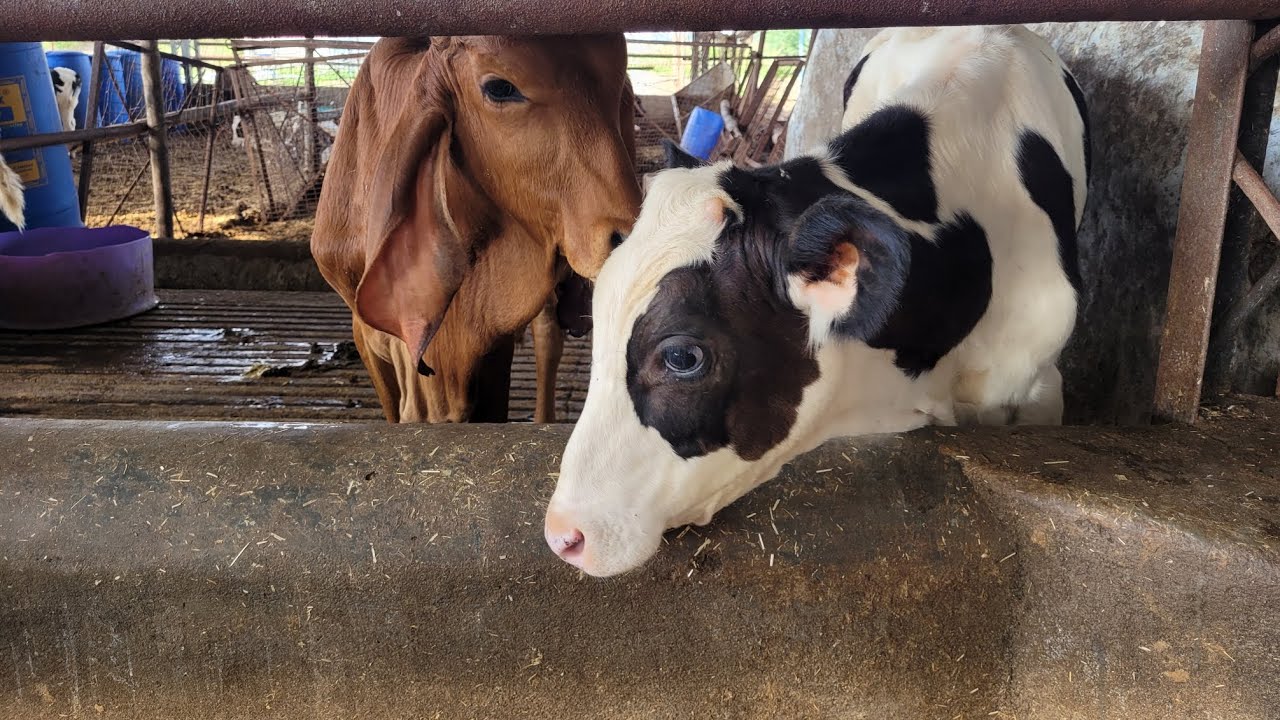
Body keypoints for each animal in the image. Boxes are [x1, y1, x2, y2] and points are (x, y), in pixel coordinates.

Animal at [311, 36, 641, 424]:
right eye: (499, 88)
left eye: (617, 86)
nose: (630, 239)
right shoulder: (366, 334)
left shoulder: (493, 343)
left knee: (548, 336)